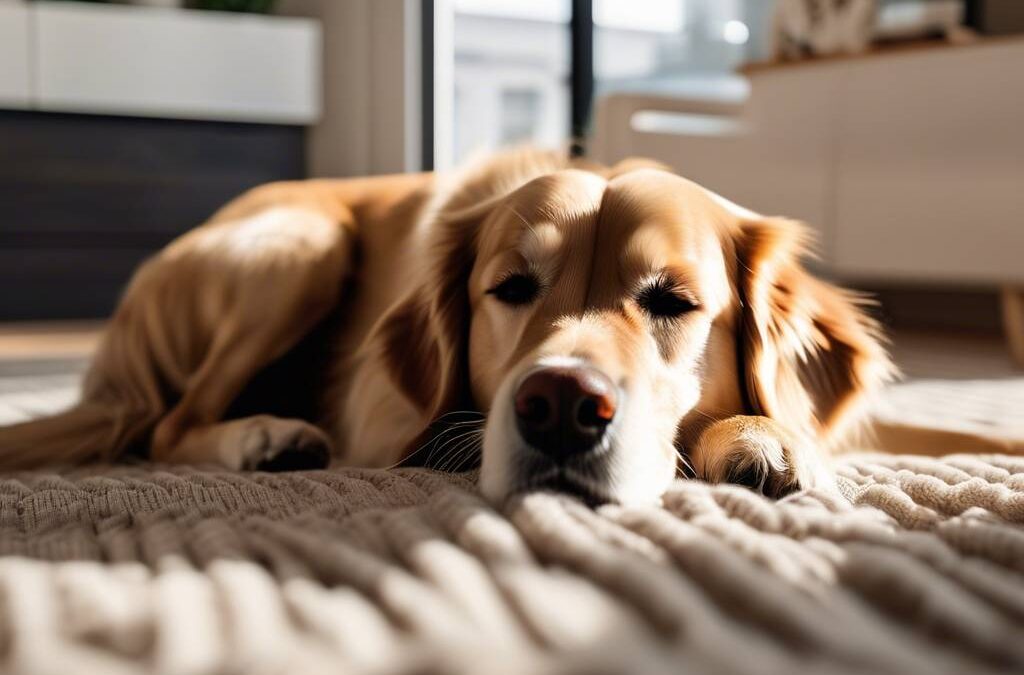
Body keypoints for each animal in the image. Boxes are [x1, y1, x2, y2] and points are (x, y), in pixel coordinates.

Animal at [0, 149, 897, 508]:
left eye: (673, 301)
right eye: (511, 288)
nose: (561, 406)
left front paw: (765, 433)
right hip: (303, 243)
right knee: (170, 423)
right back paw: (266, 435)